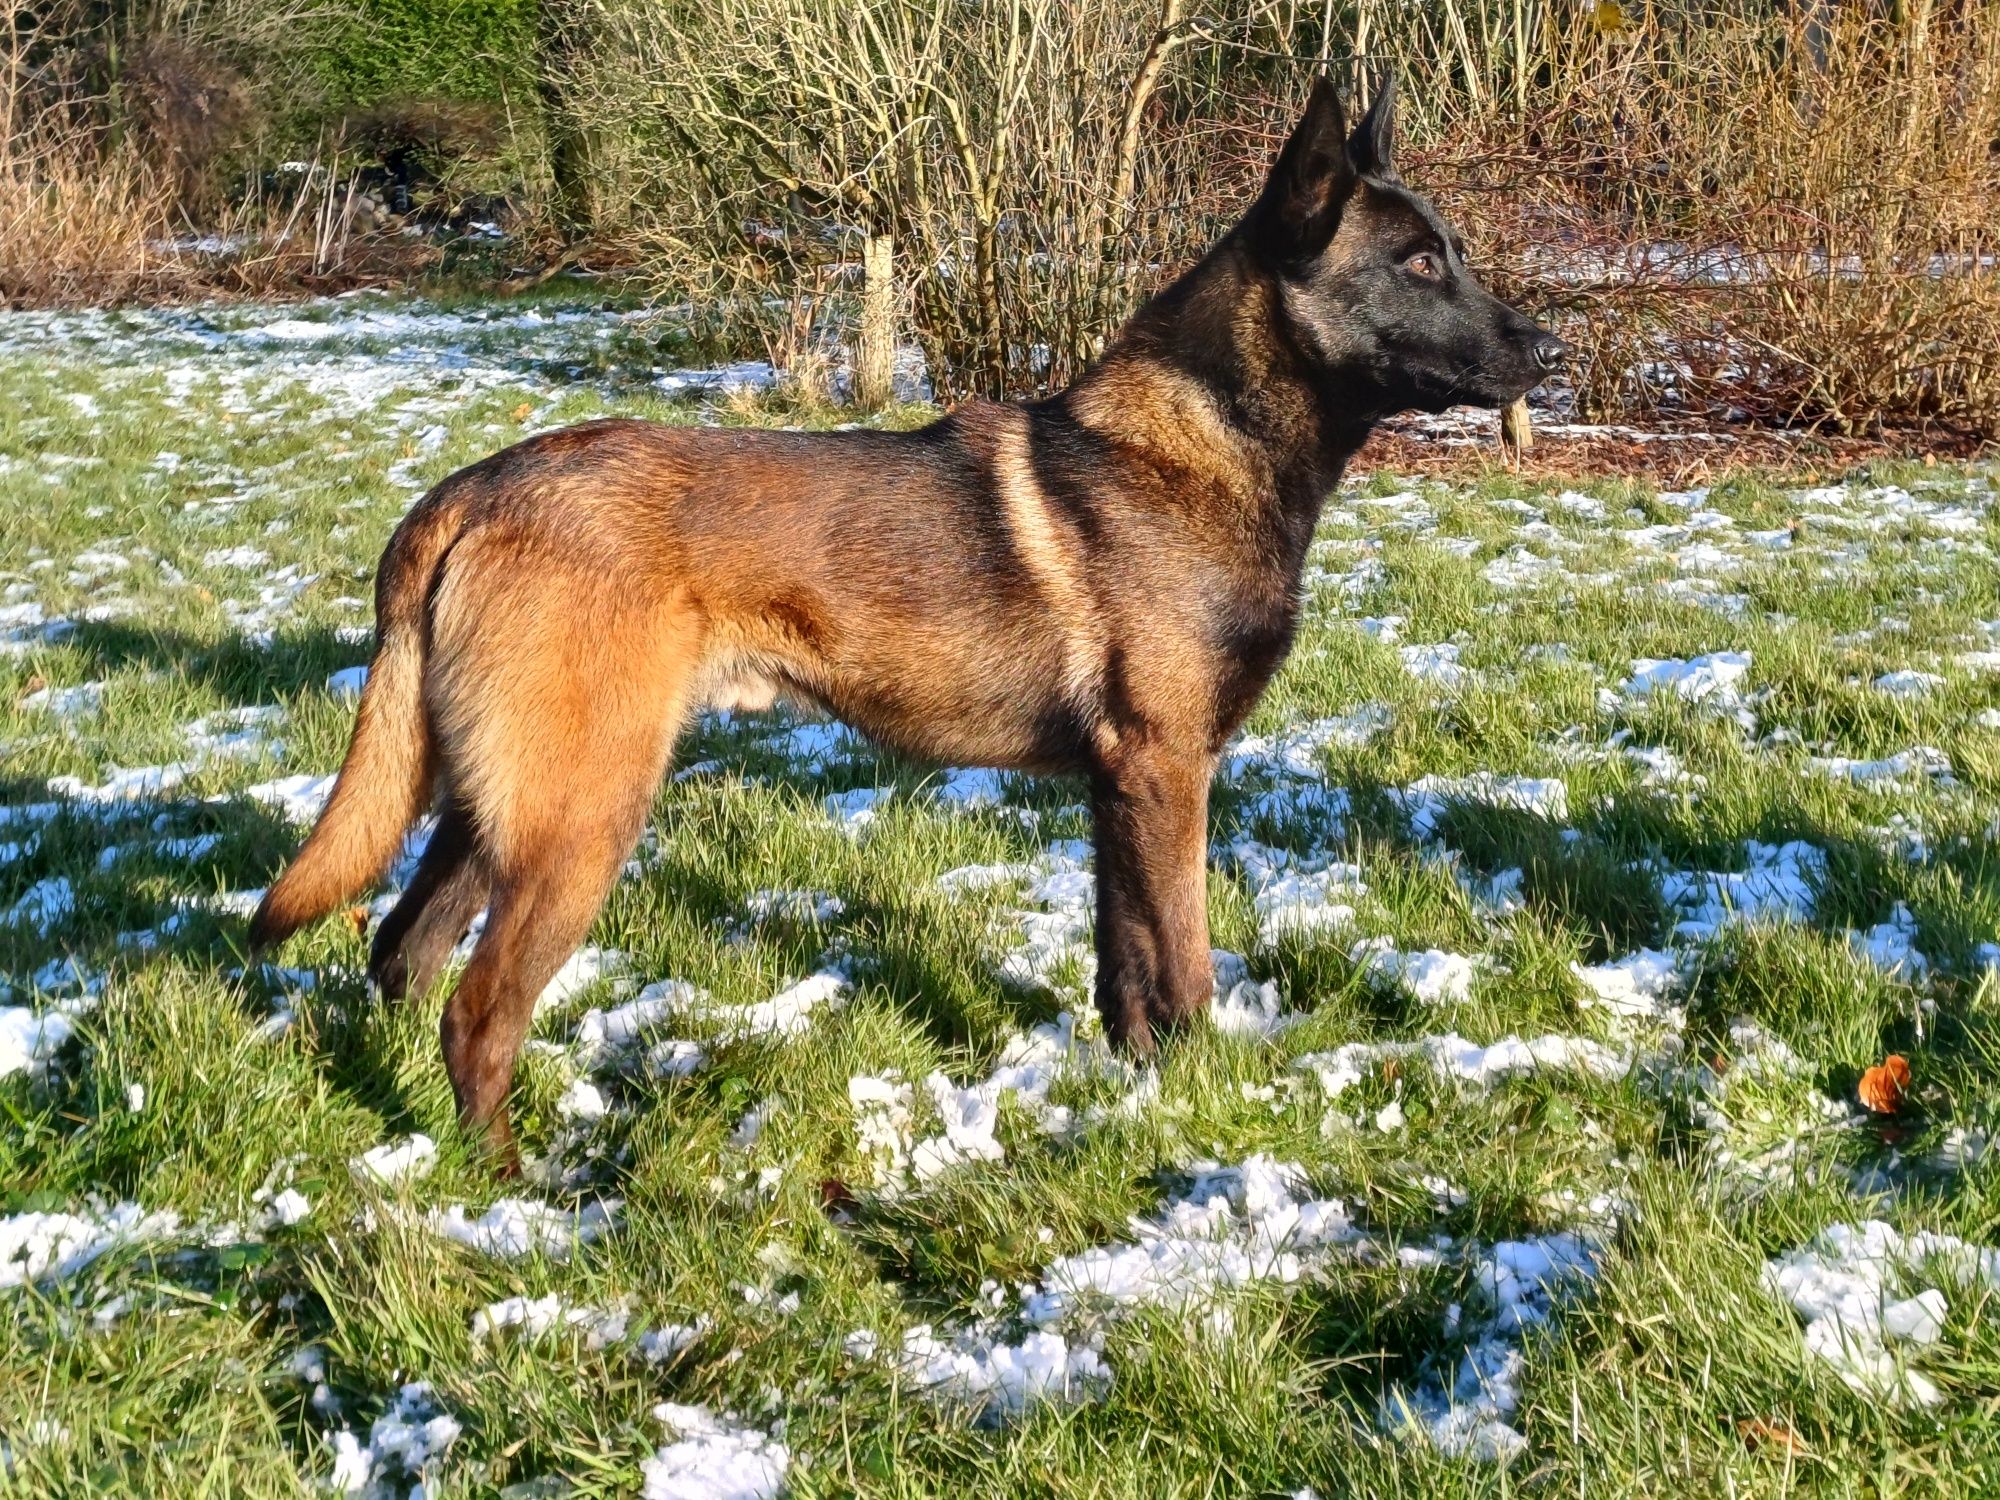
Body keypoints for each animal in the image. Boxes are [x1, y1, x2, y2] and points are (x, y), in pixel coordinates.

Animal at [246, 70, 1560, 1160]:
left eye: (1450, 253)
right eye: (1418, 263)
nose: (1548, 350)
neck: (1202, 443)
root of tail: (471, 489)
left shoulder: (1117, 788)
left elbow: (1122, 963)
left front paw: (1131, 1085)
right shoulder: (1166, 772)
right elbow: (1181, 963)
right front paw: (1201, 1096)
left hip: (497, 807)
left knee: (399, 954)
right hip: (580, 816)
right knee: (476, 1010)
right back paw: (518, 1188)